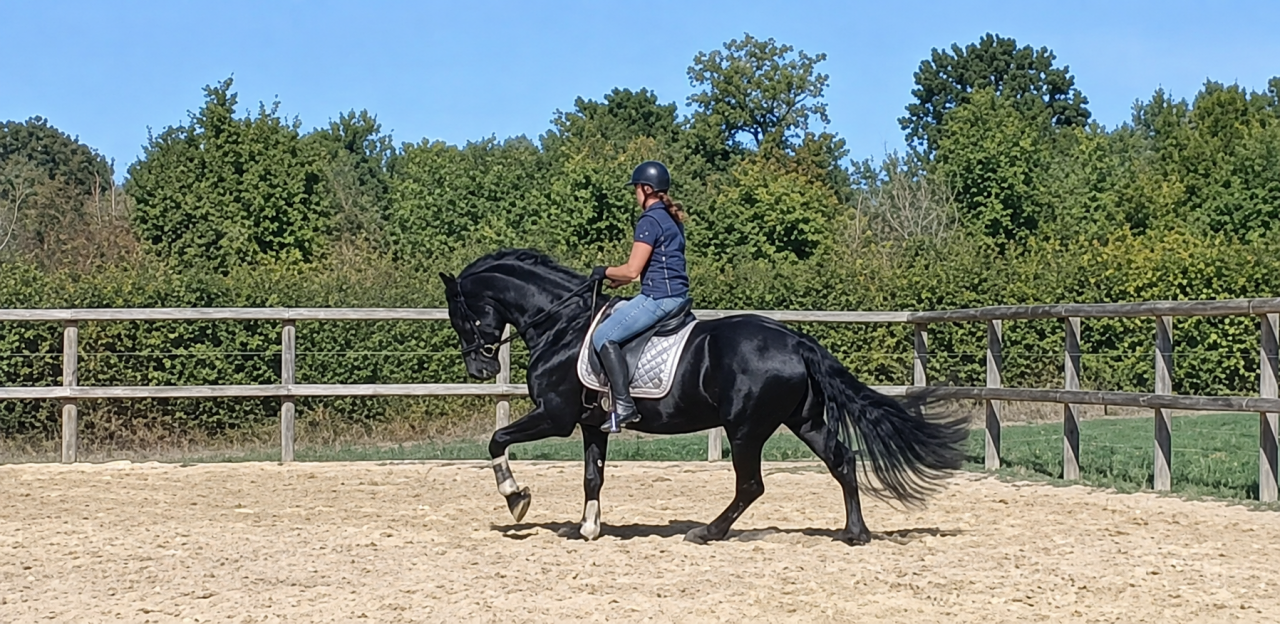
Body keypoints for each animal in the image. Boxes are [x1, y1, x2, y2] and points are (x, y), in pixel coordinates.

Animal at [439, 249, 968, 545]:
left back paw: (708, 532)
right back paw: (855, 534)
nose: (481, 368)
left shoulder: (554, 415)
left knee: (751, 485)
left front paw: (517, 499)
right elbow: (593, 477)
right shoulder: (592, 423)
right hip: (804, 419)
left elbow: (496, 440)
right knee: (842, 459)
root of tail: (797, 340)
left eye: (460, 313)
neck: (563, 325)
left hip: (746, 427)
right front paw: (588, 528)